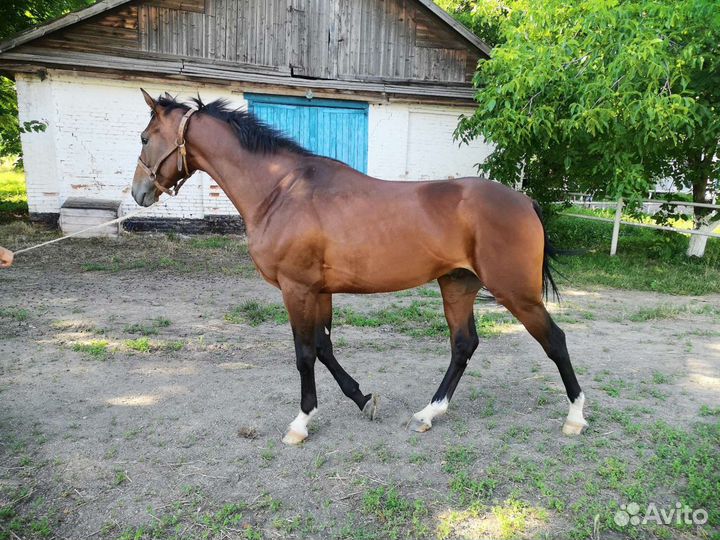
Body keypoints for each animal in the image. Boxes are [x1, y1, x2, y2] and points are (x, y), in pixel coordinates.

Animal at [131, 89, 588, 445]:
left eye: (145, 137)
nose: (139, 193)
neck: (281, 191)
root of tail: (524, 201)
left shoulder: (296, 289)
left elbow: (304, 354)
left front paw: (301, 423)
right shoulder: (319, 291)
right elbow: (324, 348)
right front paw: (364, 399)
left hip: (515, 292)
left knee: (555, 340)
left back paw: (575, 417)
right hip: (458, 285)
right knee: (463, 346)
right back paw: (428, 414)